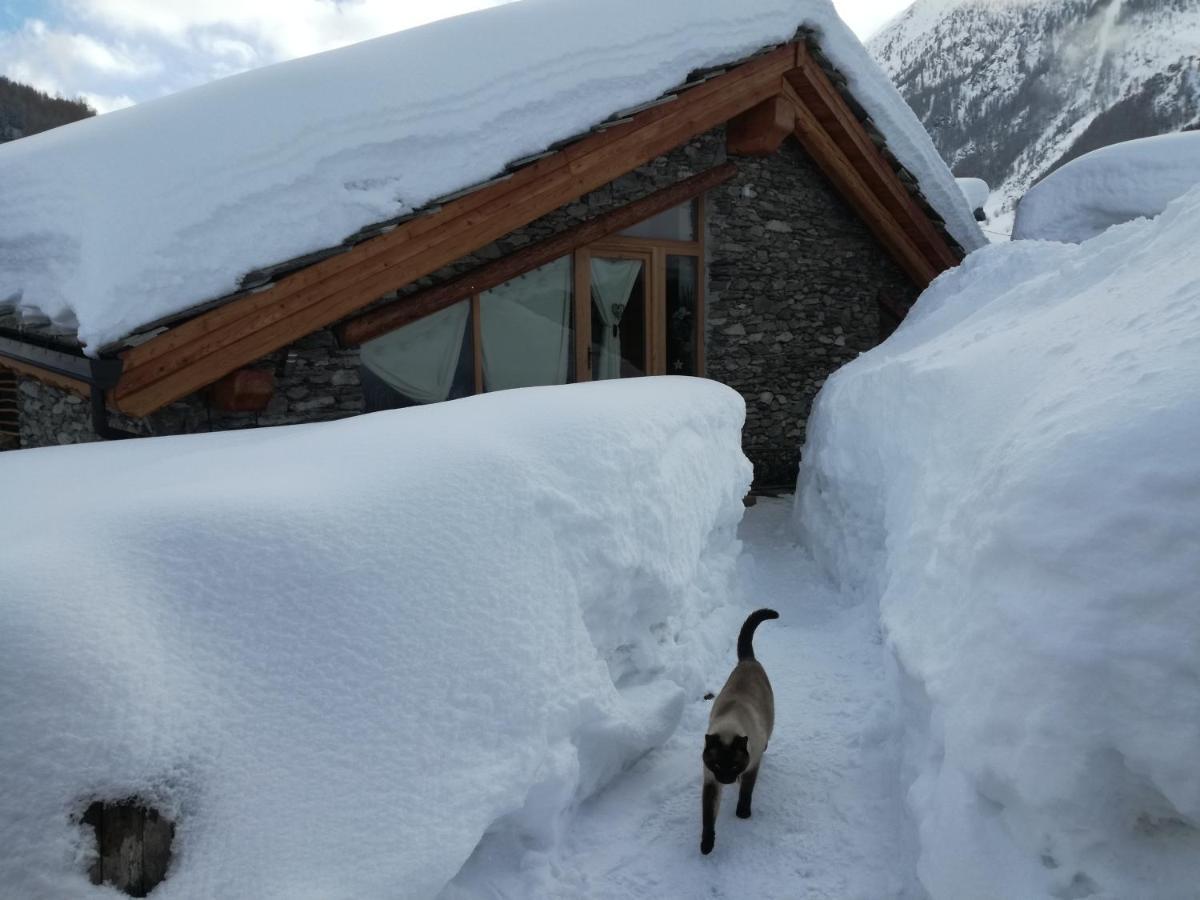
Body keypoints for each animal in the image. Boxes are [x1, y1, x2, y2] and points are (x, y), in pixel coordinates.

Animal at [700, 609, 782, 854]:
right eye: (718, 765)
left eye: (734, 765)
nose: (727, 779)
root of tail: (749, 661)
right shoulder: (711, 780)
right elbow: (708, 816)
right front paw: (706, 846)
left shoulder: (751, 766)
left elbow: (746, 791)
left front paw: (742, 814)